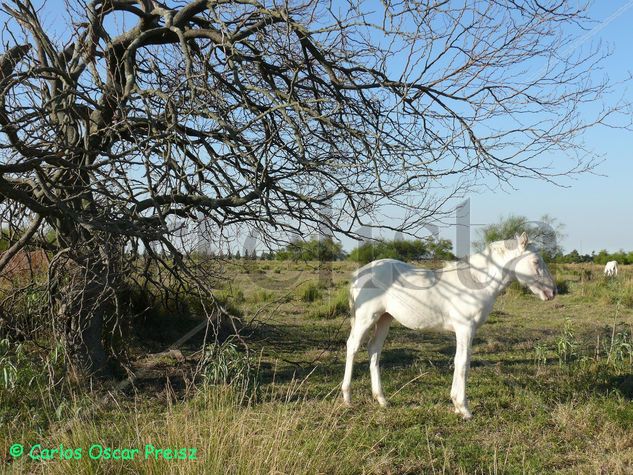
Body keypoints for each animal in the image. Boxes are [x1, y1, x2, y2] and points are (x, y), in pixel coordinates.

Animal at [344, 234, 556, 420]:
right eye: (536, 261)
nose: (552, 291)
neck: (475, 283)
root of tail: (359, 273)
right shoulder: (465, 328)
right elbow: (462, 362)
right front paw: (464, 409)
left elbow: (460, 361)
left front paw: (456, 406)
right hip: (366, 318)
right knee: (352, 347)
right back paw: (347, 398)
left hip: (384, 319)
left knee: (374, 350)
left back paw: (382, 400)